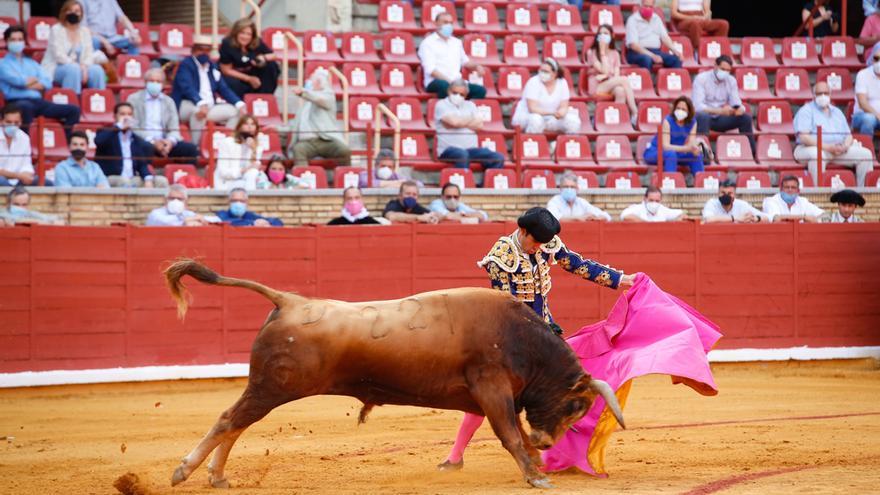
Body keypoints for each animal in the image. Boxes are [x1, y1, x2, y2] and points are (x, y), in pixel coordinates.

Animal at [162, 260, 624, 488]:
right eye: (576, 404)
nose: (549, 442)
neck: (521, 338)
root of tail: (290, 300)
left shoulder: (492, 395)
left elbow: (513, 433)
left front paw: (536, 464)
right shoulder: (492, 388)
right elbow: (510, 433)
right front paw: (536, 474)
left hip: (267, 389)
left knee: (235, 425)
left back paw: (217, 476)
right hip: (271, 387)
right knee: (229, 421)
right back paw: (185, 471)